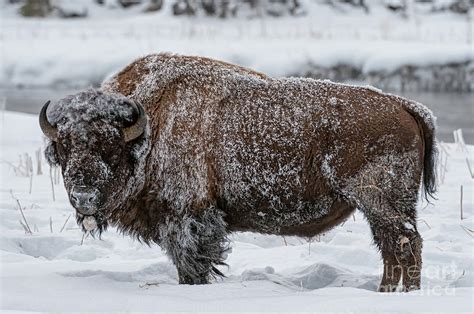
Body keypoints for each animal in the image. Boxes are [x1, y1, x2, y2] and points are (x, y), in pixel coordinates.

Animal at [40, 53, 436, 292]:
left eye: (110, 146)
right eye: (65, 145)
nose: (84, 195)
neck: (149, 126)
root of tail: (403, 105)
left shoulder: (189, 218)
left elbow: (193, 265)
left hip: (379, 201)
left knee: (406, 244)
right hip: (381, 207)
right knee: (392, 248)